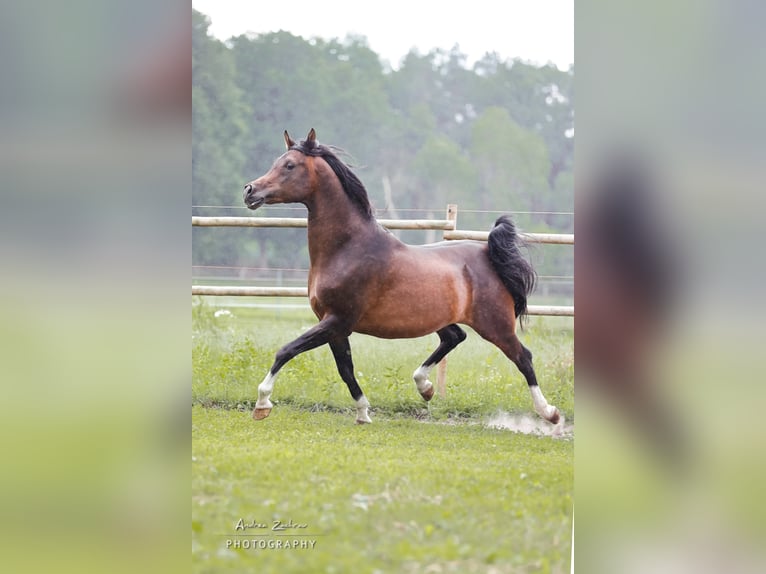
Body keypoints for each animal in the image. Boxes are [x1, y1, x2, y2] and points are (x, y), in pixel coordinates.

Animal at [243, 130, 560, 428]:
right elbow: (345, 370)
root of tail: (486, 253)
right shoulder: (335, 326)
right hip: (441, 318)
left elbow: (286, 351)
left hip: (495, 325)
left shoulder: (337, 320)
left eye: (289, 165)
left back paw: (550, 413)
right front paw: (363, 413)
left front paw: (262, 403)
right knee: (455, 337)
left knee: (523, 357)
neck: (348, 249)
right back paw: (425, 387)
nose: (249, 191)